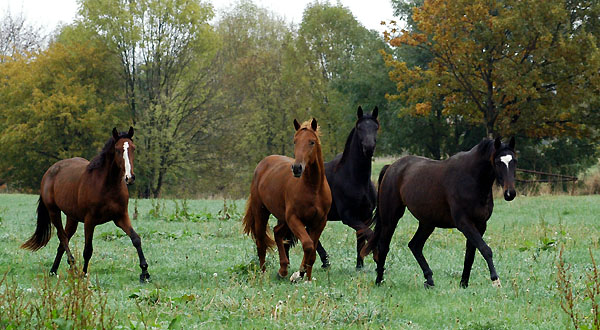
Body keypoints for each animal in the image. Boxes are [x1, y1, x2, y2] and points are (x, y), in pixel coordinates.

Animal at [22, 127, 151, 282]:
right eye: (118, 149)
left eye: (133, 148)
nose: (129, 177)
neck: (107, 185)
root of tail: (50, 171)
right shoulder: (90, 221)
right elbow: (88, 250)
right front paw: (83, 274)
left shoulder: (121, 217)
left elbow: (136, 239)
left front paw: (145, 272)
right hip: (54, 211)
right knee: (62, 237)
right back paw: (73, 266)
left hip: (72, 217)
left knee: (64, 240)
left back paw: (53, 271)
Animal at [241, 117, 330, 282]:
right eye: (295, 141)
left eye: (312, 142)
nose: (297, 168)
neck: (313, 188)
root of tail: (262, 164)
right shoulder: (294, 218)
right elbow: (308, 245)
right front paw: (299, 274)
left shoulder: (319, 222)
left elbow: (312, 251)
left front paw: (306, 278)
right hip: (261, 212)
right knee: (261, 242)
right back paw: (263, 274)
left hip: (283, 219)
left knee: (277, 232)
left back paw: (283, 269)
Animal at [316, 107, 378, 270]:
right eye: (359, 128)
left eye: (376, 127)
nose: (369, 148)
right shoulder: (348, 216)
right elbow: (370, 234)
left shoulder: (365, 215)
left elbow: (361, 238)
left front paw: (359, 265)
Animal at [360, 138, 516, 288]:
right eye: (498, 162)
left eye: (514, 160)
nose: (510, 193)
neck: (472, 179)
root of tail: (391, 168)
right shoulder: (464, 223)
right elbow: (485, 249)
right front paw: (495, 280)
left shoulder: (480, 224)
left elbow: (470, 254)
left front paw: (463, 284)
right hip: (391, 219)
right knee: (384, 247)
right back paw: (379, 281)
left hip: (427, 223)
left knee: (415, 245)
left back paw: (429, 280)